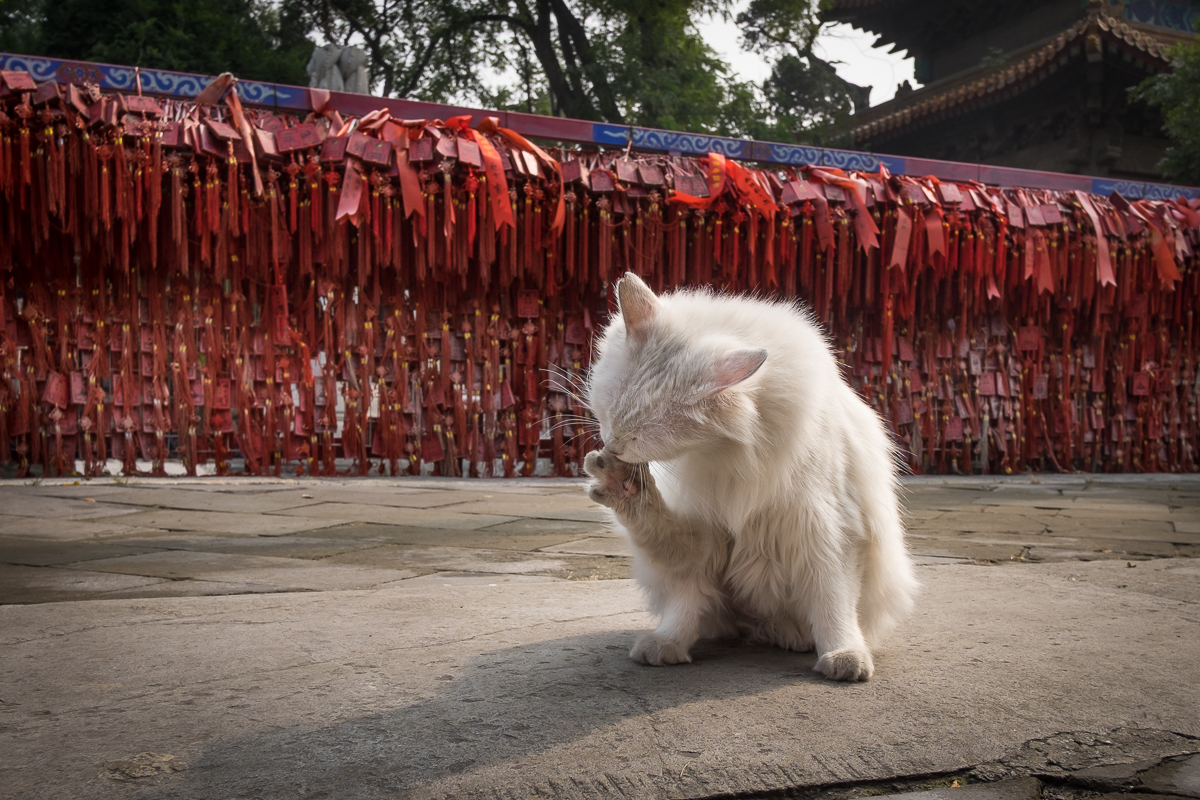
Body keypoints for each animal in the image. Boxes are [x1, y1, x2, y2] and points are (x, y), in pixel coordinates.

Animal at [583, 272, 916, 681]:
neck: (729, 453)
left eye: (640, 436)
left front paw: (843, 655)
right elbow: (684, 601)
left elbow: (832, 605)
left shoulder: (829, 532)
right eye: (609, 413)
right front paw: (669, 642)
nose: (612, 447)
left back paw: (794, 637)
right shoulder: (707, 531)